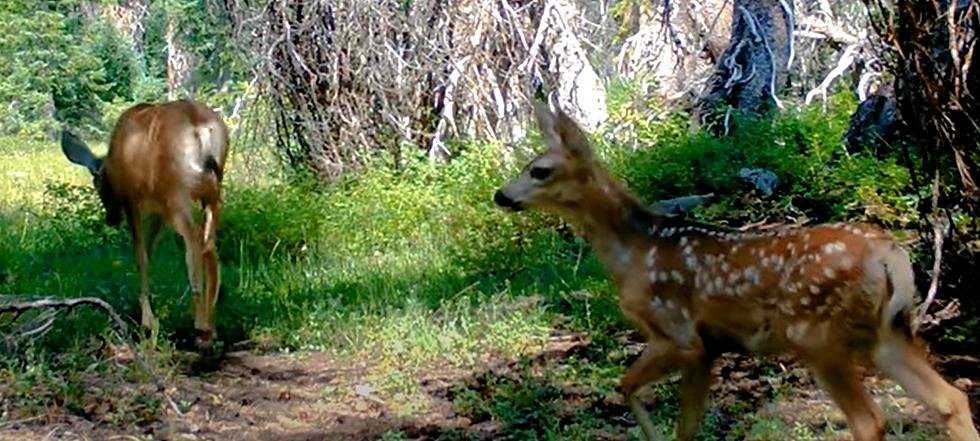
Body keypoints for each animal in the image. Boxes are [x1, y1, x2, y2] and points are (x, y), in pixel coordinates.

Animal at [61, 99, 230, 350]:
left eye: (98, 185)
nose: (111, 219)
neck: (114, 161)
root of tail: (198, 125)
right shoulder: (157, 210)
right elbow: (149, 252)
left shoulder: (132, 199)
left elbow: (140, 255)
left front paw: (147, 322)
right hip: (213, 192)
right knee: (210, 245)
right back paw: (211, 329)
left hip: (176, 193)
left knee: (194, 239)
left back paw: (200, 327)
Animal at [494, 101, 976, 440]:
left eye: (539, 171)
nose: (501, 196)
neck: (635, 251)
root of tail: (888, 254)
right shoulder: (708, 348)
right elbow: (685, 427)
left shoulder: (678, 333)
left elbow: (625, 385)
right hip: (888, 332)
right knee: (951, 399)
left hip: (816, 333)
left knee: (871, 421)